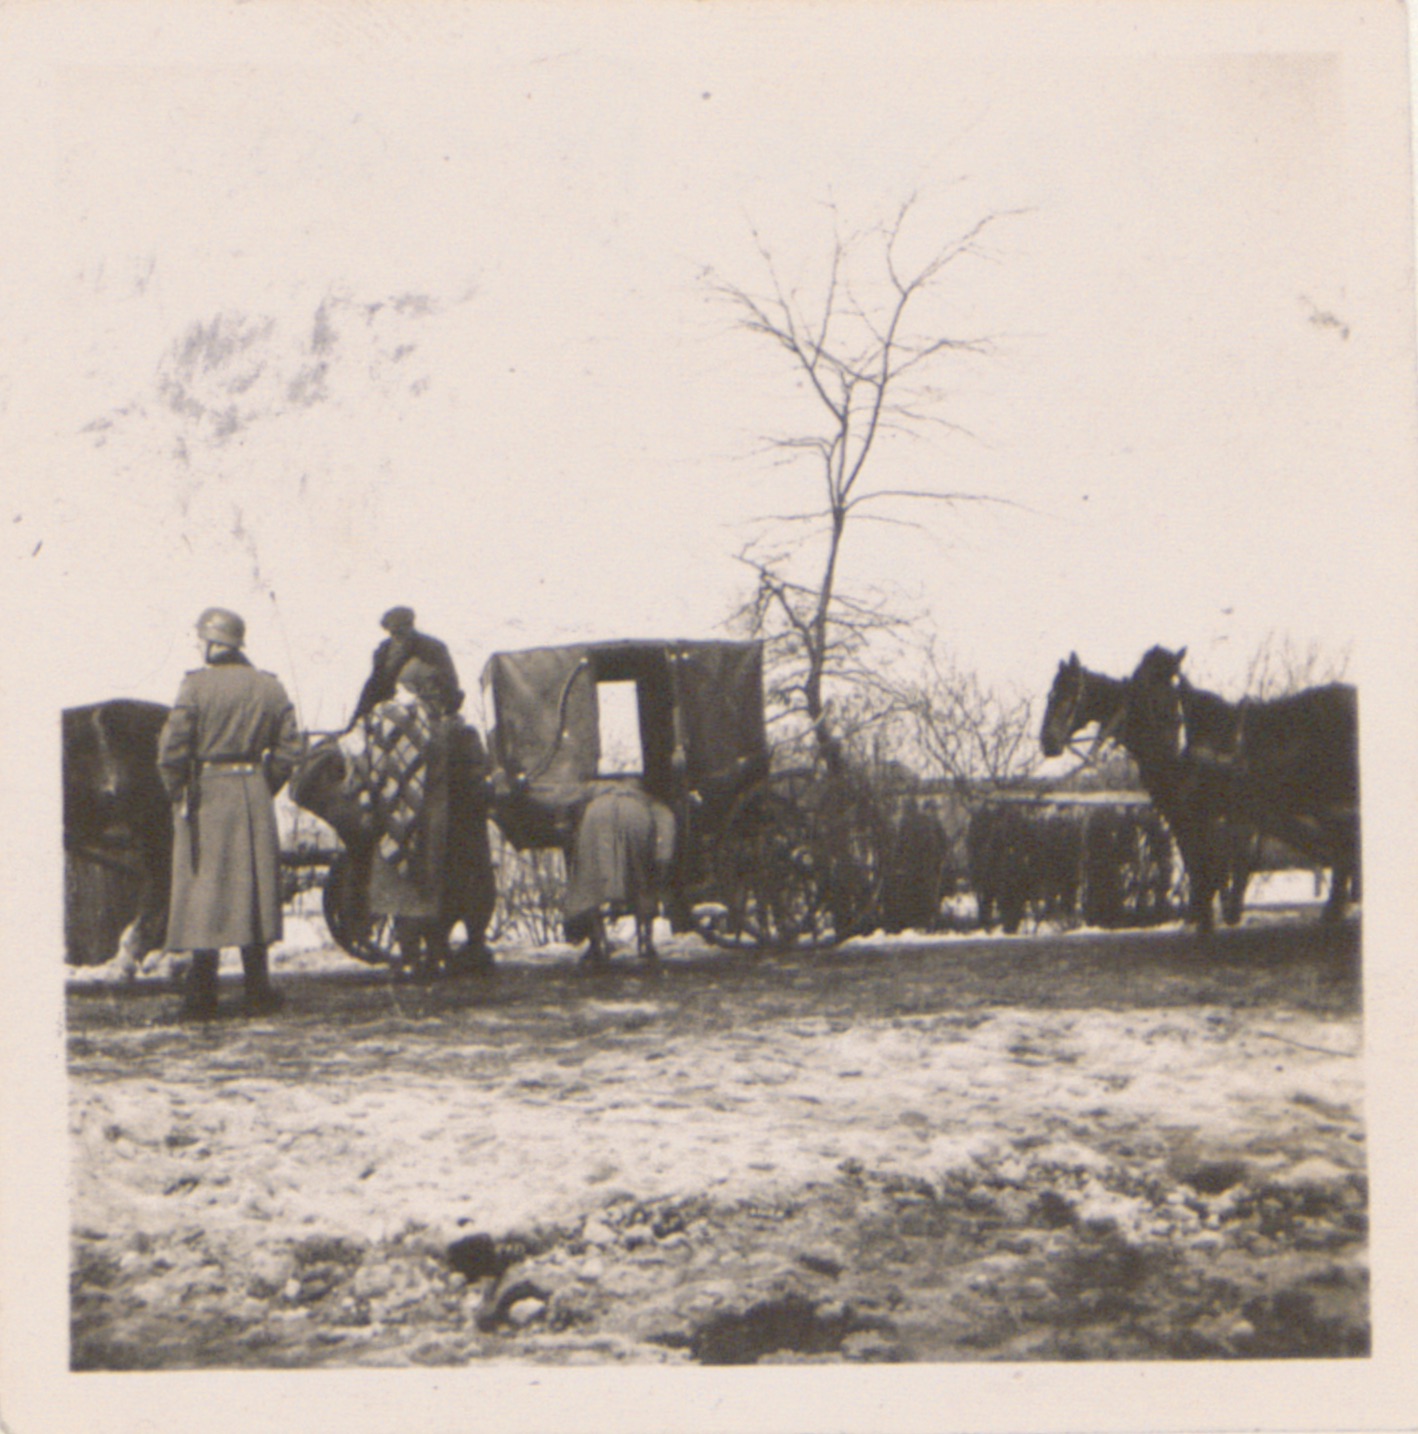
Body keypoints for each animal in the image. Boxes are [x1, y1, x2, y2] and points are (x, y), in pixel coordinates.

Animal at [1038, 656, 1250, 934]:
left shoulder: (1196, 820)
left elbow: (1206, 869)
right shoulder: (1182, 819)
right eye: (1051, 694)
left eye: (1069, 693)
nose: (1047, 742)